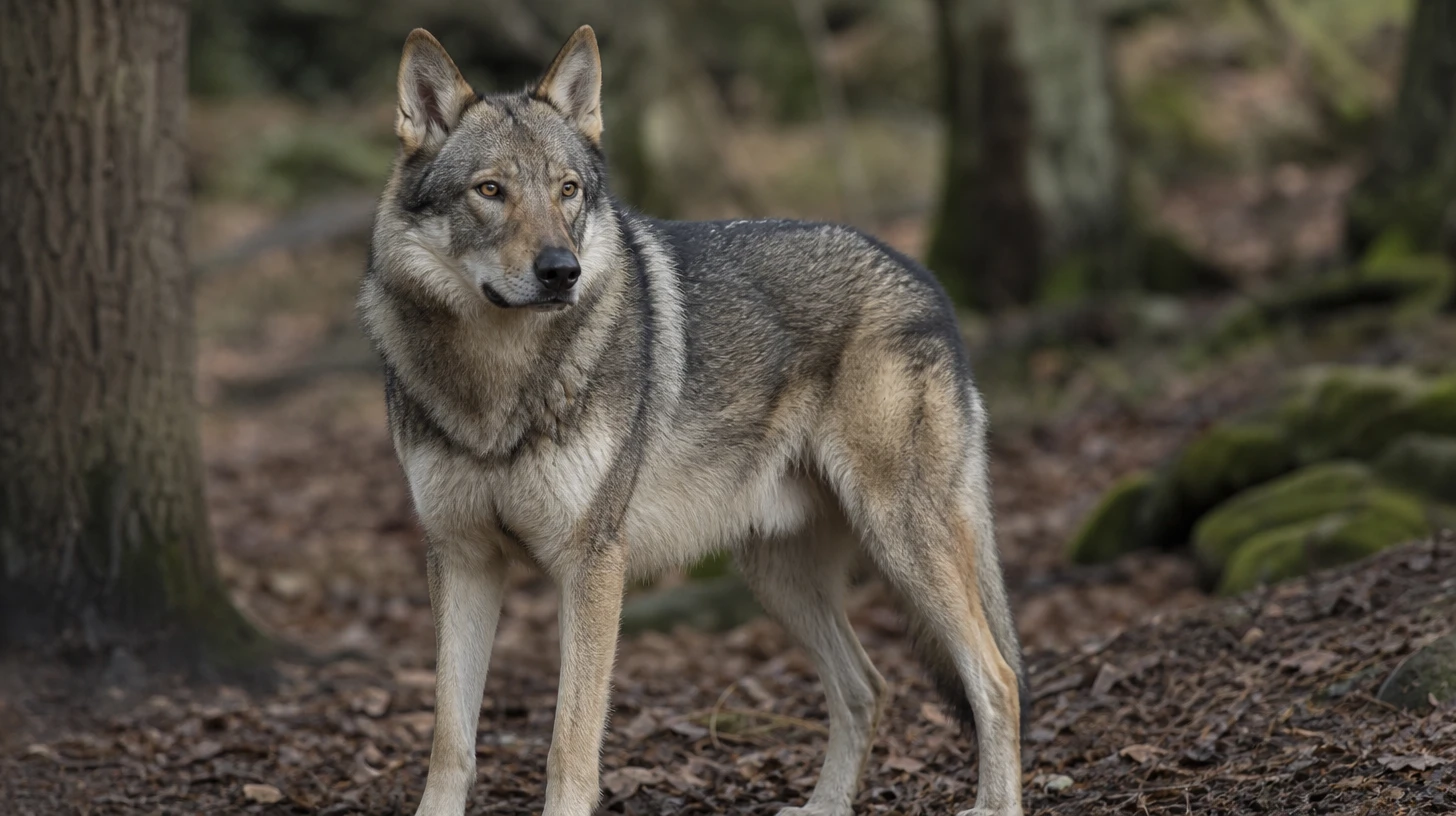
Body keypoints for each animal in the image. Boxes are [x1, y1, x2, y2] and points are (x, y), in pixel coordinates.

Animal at [359, 24, 1025, 816]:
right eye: (490, 190)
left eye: (567, 191)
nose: (561, 271)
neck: (495, 384)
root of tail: (924, 277)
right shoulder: (461, 559)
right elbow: (450, 740)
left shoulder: (592, 565)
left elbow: (569, 743)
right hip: (778, 575)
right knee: (868, 686)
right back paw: (823, 806)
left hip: (902, 542)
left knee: (997, 678)